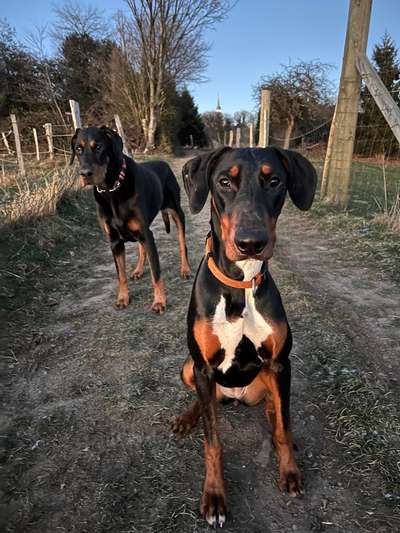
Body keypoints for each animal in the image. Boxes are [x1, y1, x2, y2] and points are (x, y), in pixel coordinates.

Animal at [70, 125, 191, 312]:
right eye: (78, 149)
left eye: (99, 147)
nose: (85, 174)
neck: (112, 191)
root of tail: (163, 163)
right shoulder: (114, 241)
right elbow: (121, 274)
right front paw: (123, 298)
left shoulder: (147, 235)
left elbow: (156, 273)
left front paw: (159, 301)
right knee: (141, 248)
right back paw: (138, 270)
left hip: (177, 213)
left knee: (181, 243)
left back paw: (185, 269)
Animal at [173, 144, 318, 524]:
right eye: (224, 181)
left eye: (274, 181)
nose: (251, 243)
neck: (241, 283)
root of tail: (234, 398)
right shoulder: (203, 367)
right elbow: (213, 443)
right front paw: (214, 496)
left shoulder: (281, 363)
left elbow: (282, 425)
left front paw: (290, 470)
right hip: (188, 368)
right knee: (202, 401)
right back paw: (187, 418)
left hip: (269, 377)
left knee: (276, 410)